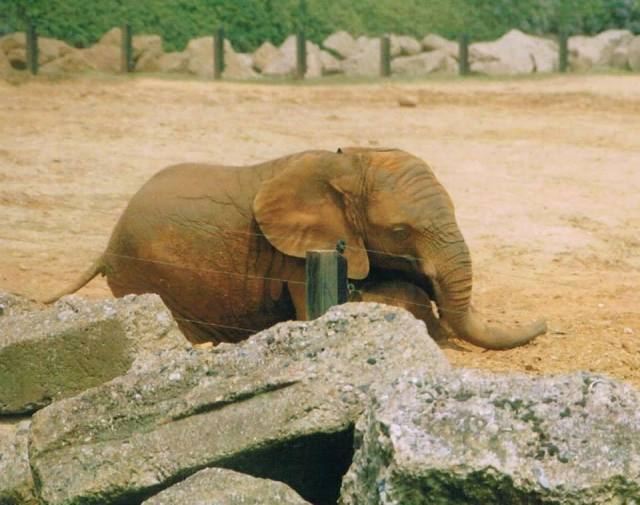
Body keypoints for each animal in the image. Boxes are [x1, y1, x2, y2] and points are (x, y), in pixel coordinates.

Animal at [43, 148, 544, 348]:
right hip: (146, 275)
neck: (348, 163)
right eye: (402, 231)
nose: (542, 324)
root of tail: (106, 245)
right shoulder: (295, 255)